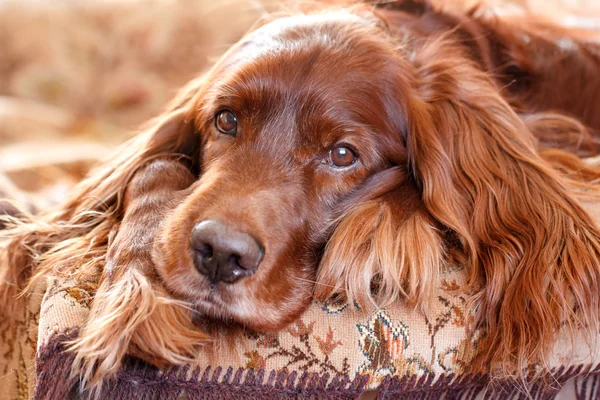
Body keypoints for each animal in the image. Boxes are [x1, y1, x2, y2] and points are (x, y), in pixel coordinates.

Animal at [1, 0, 600, 392]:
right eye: (226, 119)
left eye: (343, 155)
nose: (220, 254)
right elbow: (151, 169)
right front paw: (134, 297)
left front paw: (381, 232)